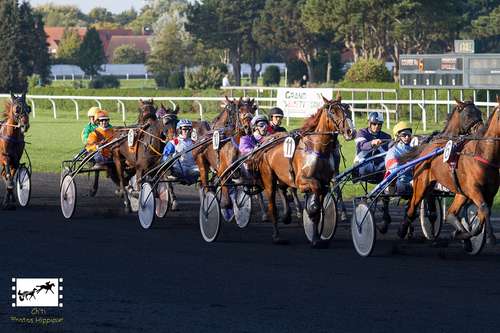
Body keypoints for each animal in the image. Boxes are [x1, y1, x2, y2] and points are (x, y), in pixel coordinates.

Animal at [254, 93, 356, 246]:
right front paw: (311, 210)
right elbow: (314, 186)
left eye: (348, 110)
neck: (317, 149)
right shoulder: (301, 181)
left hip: (284, 175)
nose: (351, 131)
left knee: (281, 188)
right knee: (272, 206)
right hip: (268, 178)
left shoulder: (325, 183)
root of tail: (265, 141)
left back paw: (287, 215)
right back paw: (277, 235)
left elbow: (320, 208)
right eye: (333, 112)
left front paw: (316, 238)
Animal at [400, 94, 500, 248]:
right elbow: (484, 209)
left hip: (460, 191)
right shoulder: (474, 189)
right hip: (422, 186)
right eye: (467, 115)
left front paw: (468, 233)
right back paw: (404, 229)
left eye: (479, 112)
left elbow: (481, 215)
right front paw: (490, 237)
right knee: (412, 207)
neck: (484, 152)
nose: (479, 128)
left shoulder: (489, 192)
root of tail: (427, 148)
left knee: (450, 213)